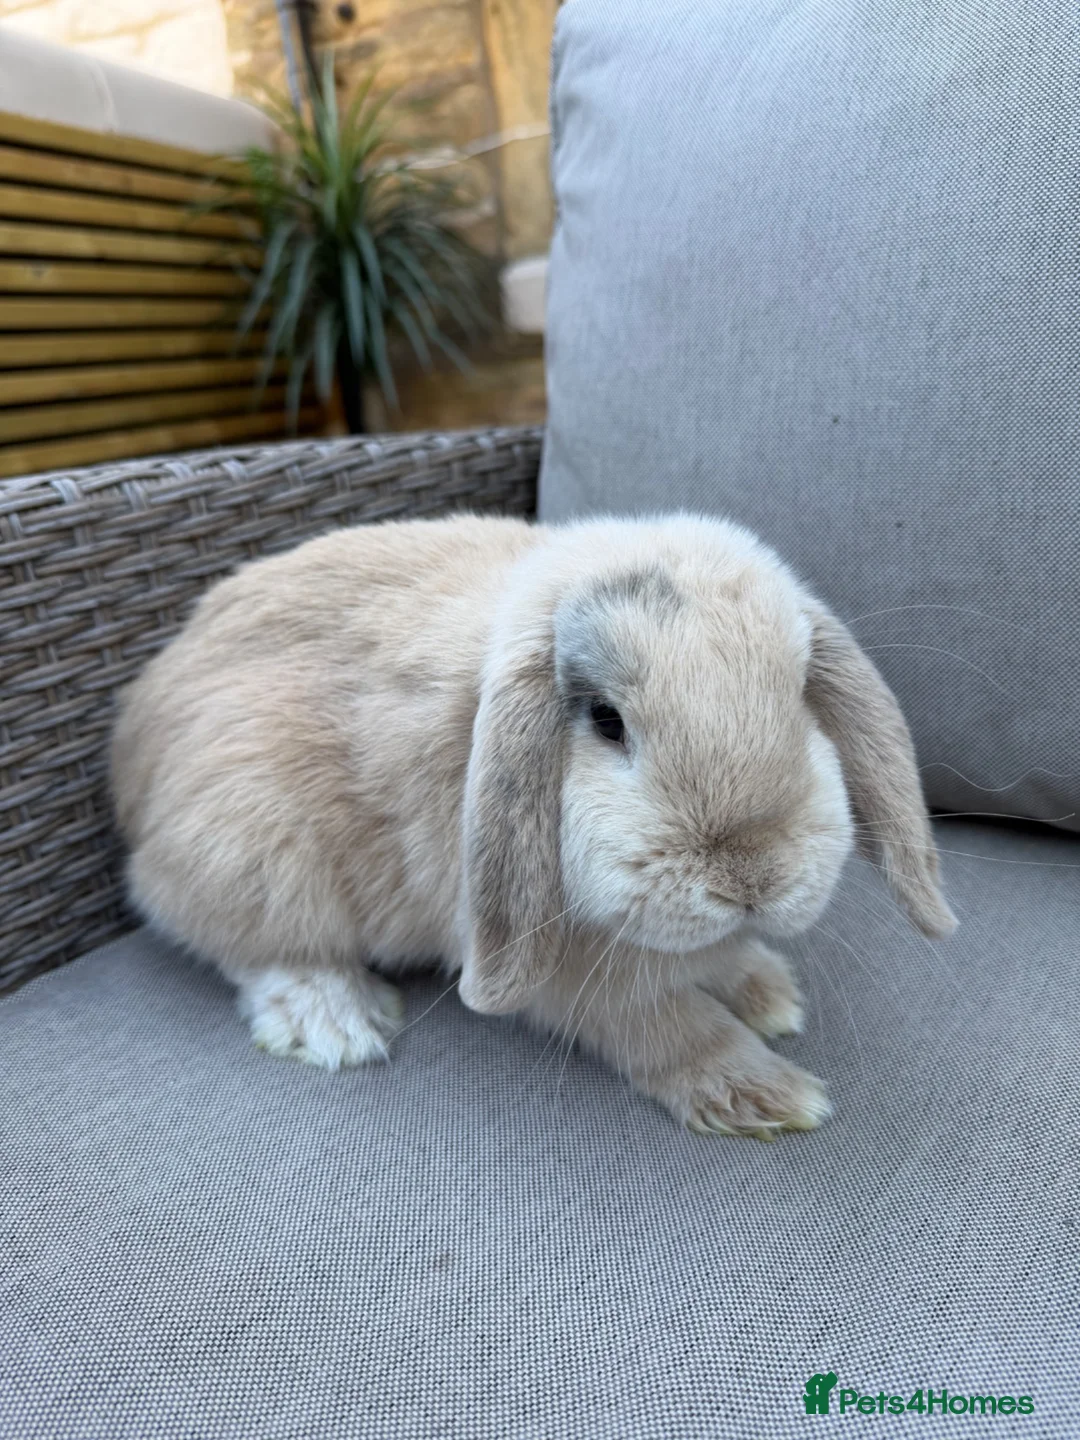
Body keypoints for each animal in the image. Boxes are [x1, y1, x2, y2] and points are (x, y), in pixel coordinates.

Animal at [111, 511, 955, 1139]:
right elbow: (670, 1027)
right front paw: (768, 1095)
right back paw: (335, 1021)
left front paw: (769, 994)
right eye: (606, 721)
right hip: (255, 853)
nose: (749, 878)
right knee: (250, 948)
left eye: (801, 696)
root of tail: (131, 757)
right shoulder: (572, 976)